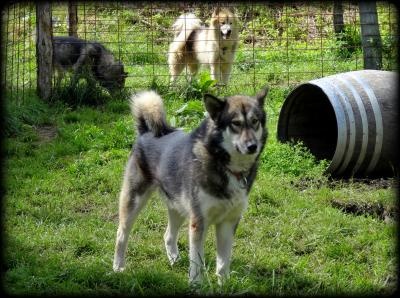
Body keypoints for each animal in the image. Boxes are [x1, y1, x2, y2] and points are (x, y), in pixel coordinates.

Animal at [112, 87, 268, 286]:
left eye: (255, 121)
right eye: (236, 123)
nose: (252, 146)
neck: (225, 165)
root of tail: (145, 131)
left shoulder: (228, 222)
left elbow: (223, 262)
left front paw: (223, 284)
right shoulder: (198, 223)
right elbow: (197, 261)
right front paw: (196, 285)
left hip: (178, 206)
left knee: (168, 235)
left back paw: (173, 259)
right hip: (134, 201)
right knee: (121, 234)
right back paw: (118, 266)